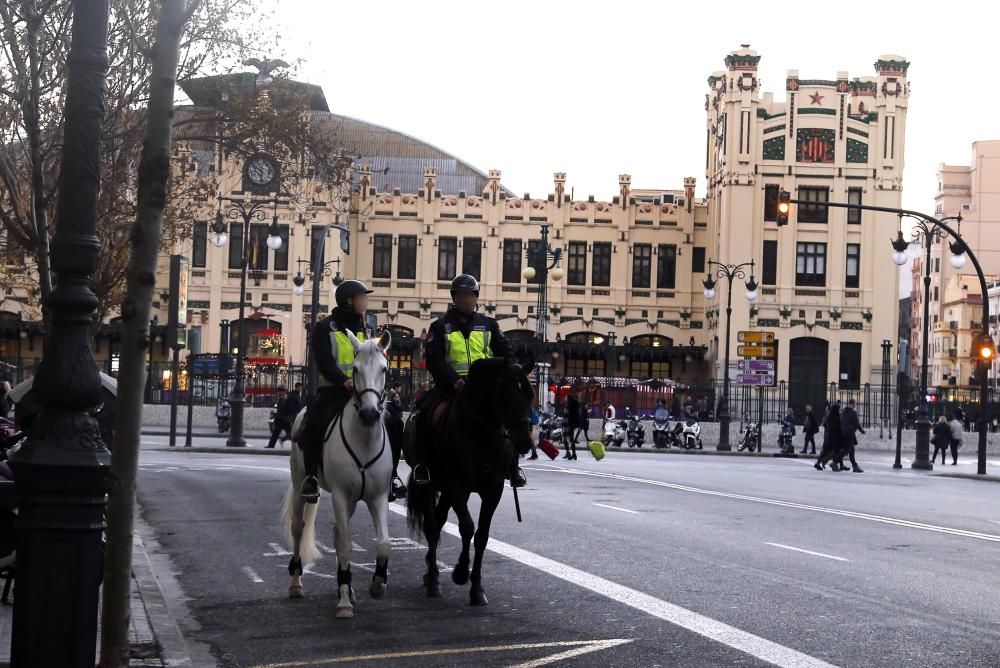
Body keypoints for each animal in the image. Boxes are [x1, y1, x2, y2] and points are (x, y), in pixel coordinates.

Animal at [282, 332, 394, 620]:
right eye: (354, 370)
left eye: (384, 369)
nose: (369, 414)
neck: (364, 439)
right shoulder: (341, 496)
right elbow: (345, 544)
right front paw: (343, 603)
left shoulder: (377, 497)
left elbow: (384, 544)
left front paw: (377, 585)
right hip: (301, 481)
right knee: (298, 528)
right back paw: (296, 583)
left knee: (334, 531)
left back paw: (349, 587)